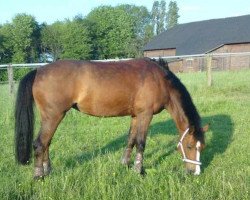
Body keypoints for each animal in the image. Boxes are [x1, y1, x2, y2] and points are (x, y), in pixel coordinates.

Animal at [14, 57, 208, 178]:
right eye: (189, 146)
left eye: (202, 147)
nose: (195, 173)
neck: (160, 79)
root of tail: (38, 71)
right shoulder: (145, 115)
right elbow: (141, 143)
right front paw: (139, 171)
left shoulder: (136, 115)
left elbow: (130, 140)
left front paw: (125, 164)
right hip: (54, 116)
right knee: (40, 143)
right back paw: (39, 175)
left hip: (51, 118)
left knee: (46, 143)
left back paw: (48, 170)